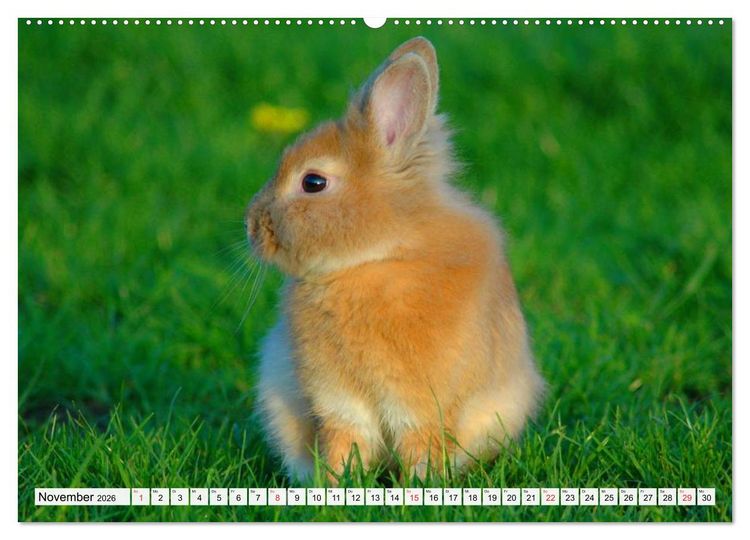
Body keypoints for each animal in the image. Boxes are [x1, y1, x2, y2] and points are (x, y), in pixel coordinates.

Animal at [246, 36, 545, 482]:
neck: (376, 259)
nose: (251, 226)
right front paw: (334, 486)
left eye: (313, 182)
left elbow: (419, 446)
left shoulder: (420, 406)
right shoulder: (339, 403)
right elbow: (344, 443)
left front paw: (419, 488)